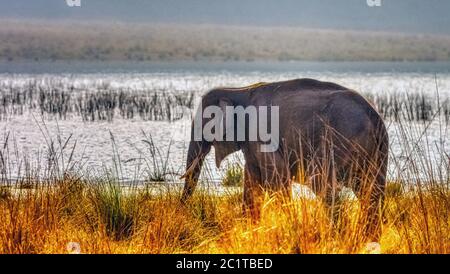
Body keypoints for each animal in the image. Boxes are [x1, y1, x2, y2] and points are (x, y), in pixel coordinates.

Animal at [181, 77, 388, 238]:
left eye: (203, 123)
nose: (183, 211)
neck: (239, 90)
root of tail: (374, 117)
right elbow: (251, 183)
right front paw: (250, 231)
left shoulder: (262, 136)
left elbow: (277, 180)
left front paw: (286, 225)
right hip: (378, 153)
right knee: (371, 192)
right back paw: (368, 238)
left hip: (340, 142)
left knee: (323, 184)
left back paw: (338, 236)